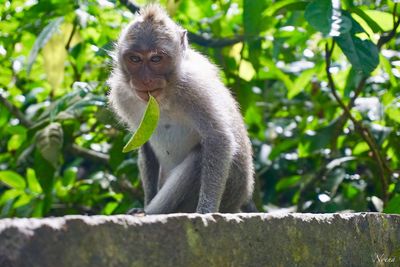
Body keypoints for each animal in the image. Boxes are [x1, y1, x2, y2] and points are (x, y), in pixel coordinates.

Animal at [108, 4, 255, 215]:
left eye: (156, 59)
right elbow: (145, 144)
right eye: (135, 59)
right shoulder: (122, 94)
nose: (145, 80)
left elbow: (218, 139)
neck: (163, 97)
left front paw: (205, 211)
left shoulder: (195, 88)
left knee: (199, 157)